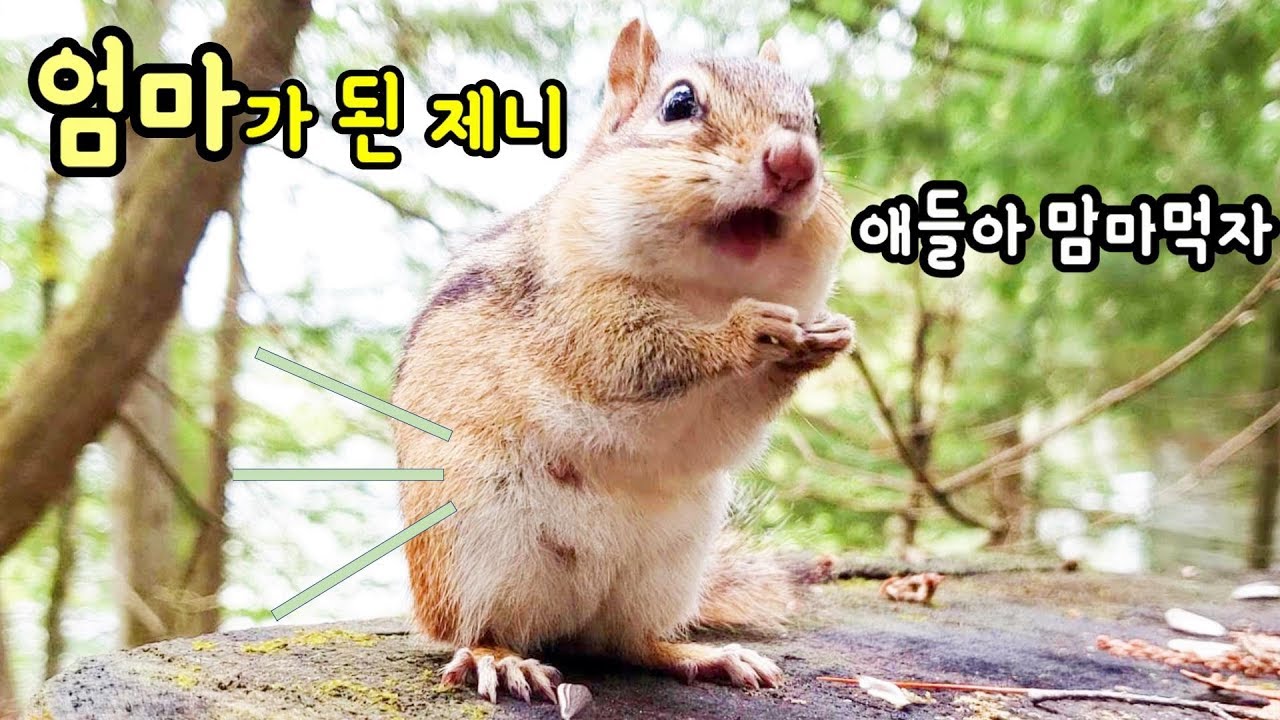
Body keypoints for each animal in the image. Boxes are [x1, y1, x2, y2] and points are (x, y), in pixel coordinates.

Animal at [392, 19, 852, 704]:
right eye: (679, 104)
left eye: (815, 119)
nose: (794, 162)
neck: (704, 291)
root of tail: (568, 624)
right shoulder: (576, 314)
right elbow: (640, 354)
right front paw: (743, 330)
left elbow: (727, 425)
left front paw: (824, 337)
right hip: (475, 549)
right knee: (478, 627)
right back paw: (498, 658)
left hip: (667, 567)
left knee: (629, 642)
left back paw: (701, 655)